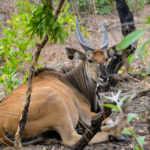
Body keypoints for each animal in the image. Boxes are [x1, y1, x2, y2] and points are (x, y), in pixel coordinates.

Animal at [0, 17, 125, 146]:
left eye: (106, 58)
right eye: (90, 60)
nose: (104, 77)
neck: (71, 82)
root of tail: (1, 127)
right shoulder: (86, 115)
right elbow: (109, 120)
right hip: (58, 105)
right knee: (72, 138)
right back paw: (114, 134)